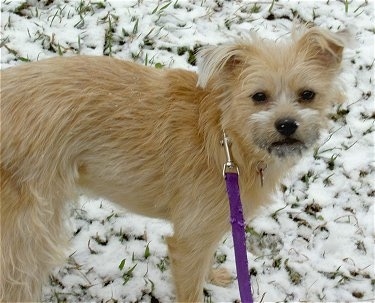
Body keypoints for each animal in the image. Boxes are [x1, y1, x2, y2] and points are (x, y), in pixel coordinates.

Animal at [0, 27, 348, 302]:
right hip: (28, 232)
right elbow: (190, 285)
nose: (287, 125)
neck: (226, 133)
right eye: (259, 96)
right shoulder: (190, 239)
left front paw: (213, 276)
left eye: (307, 94)